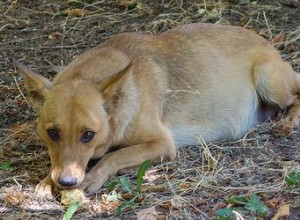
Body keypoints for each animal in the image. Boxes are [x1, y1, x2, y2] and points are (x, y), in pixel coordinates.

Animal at [13, 22, 300, 199]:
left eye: (88, 135)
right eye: (52, 133)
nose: (66, 184)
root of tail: (266, 42)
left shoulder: (162, 143)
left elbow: (114, 156)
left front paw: (95, 175)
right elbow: (59, 162)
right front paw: (46, 181)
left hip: (269, 79)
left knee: (297, 95)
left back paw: (289, 120)